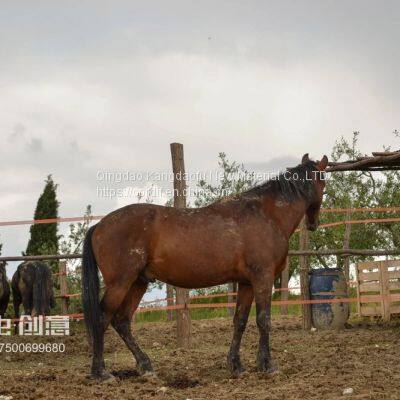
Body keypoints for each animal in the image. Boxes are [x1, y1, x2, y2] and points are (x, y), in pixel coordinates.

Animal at [81, 154, 328, 382]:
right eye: (323, 183)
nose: (313, 223)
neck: (265, 214)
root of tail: (99, 225)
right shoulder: (263, 278)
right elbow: (263, 320)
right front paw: (267, 365)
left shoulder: (246, 283)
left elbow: (239, 321)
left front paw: (236, 366)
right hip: (121, 283)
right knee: (102, 319)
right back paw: (101, 372)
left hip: (138, 282)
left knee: (122, 321)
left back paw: (146, 366)